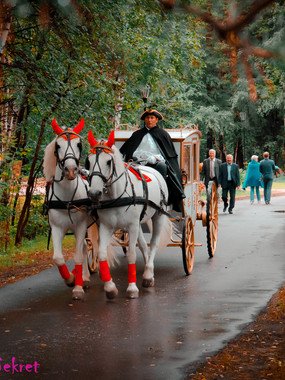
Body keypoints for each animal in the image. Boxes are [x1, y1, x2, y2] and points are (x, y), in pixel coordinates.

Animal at [43, 118, 93, 300]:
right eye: (58, 145)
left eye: (79, 144)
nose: (71, 170)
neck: (67, 198)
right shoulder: (57, 227)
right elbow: (58, 258)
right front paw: (71, 279)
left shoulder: (80, 226)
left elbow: (77, 256)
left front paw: (77, 288)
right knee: (85, 247)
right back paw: (85, 277)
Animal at [86, 131, 170, 300]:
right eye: (88, 161)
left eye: (108, 162)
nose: (94, 193)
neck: (117, 195)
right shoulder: (106, 226)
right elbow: (102, 253)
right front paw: (110, 287)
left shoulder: (131, 226)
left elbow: (131, 254)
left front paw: (132, 288)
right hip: (138, 223)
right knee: (144, 245)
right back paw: (148, 272)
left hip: (158, 216)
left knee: (154, 243)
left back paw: (148, 273)